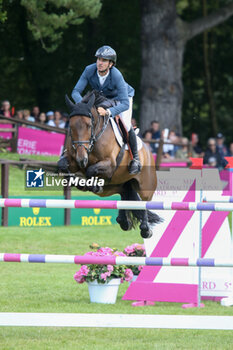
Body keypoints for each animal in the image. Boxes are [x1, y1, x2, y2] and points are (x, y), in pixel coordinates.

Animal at [64, 90, 161, 239]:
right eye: (71, 126)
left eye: (89, 125)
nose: (82, 159)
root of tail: (148, 150)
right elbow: (63, 167)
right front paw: (79, 181)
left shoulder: (109, 165)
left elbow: (91, 170)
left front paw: (93, 185)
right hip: (115, 185)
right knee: (125, 193)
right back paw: (123, 221)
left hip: (145, 186)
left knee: (144, 201)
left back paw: (146, 229)